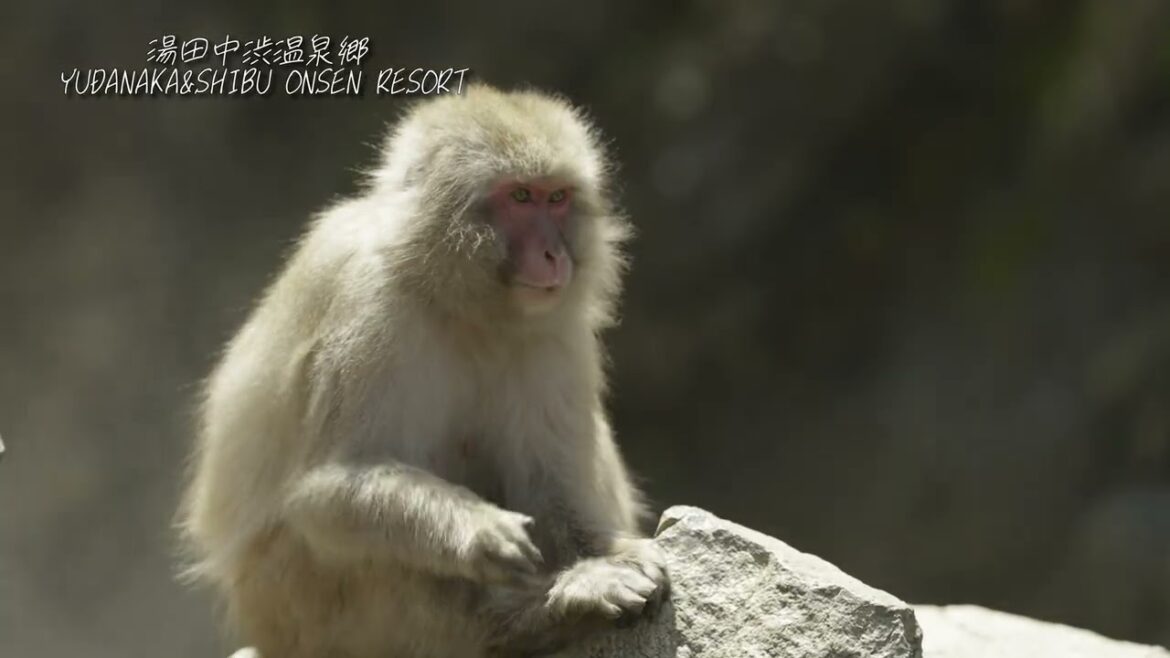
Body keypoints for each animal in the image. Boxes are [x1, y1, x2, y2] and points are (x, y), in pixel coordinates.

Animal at [179, 84, 668, 658]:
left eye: (557, 198)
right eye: (520, 197)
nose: (554, 255)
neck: (453, 297)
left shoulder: (553, 333)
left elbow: (549, 483)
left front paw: (606, 554)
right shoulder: (368, 306)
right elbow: (326, 489)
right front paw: (478, 532)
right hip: (302, 610)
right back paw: (526, 621)